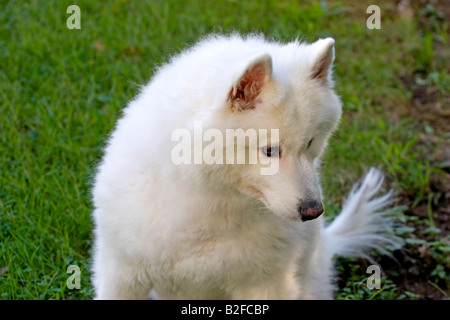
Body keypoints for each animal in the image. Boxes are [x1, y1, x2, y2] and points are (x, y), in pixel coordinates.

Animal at [91, 33, 394, 298]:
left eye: (309, 143)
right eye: (270, 150)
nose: (313, 211)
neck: (208, 198)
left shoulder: (267, 284)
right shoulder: (121, 273)